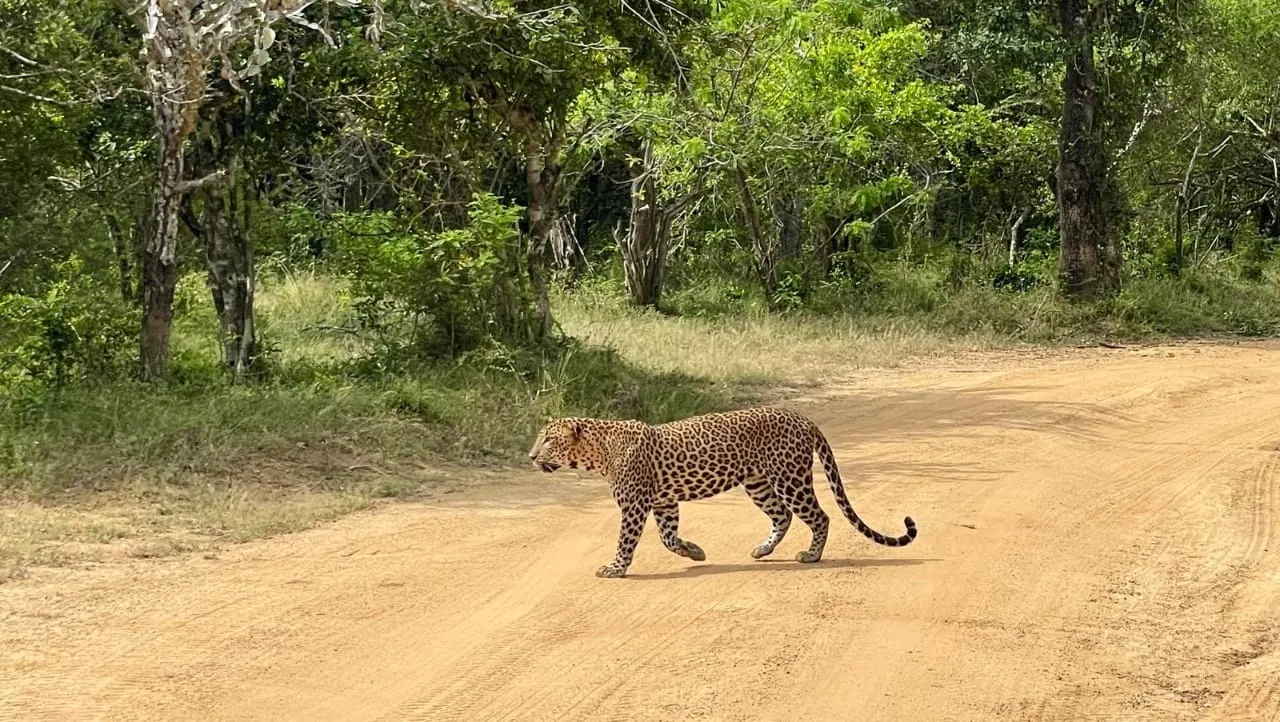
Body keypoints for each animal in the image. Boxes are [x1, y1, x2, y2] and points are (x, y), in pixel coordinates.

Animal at [528, 406, 918, 578]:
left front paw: (615, 568)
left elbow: (627, 540)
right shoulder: (664, 502)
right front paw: (694, 552)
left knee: (818, 516)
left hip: (789, 478)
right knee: (782, 515)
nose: (530, 456)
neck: (597, 453)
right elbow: (668, 537)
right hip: (758, 483)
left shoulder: (635, 504)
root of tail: (803, 418)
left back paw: (811, 556)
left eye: (548, 440)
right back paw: (763, 550)